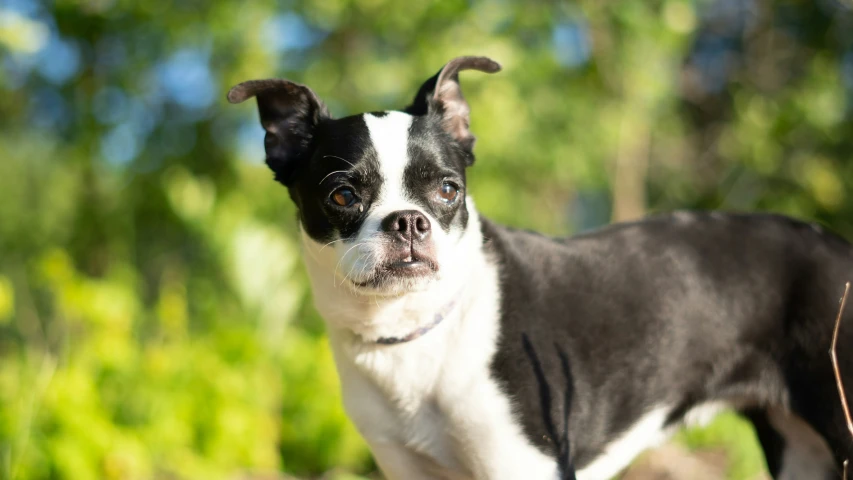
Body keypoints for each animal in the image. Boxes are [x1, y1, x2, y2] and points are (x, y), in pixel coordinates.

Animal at [226, 57, 852, 480]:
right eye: (342, 196)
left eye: (448, 190)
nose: (407, 222)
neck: (414, 335)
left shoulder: (523, 464)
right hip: (804, 452)